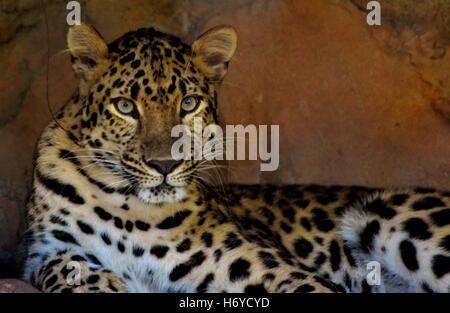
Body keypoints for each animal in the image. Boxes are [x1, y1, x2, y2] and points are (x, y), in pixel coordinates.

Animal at [22, 22, 450, 292]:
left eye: (189, 104)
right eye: (125, 106)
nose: (165, 166)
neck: (130, 214)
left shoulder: (278, 271)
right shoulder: (45, 250)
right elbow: (67, 265)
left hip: (387, 214)